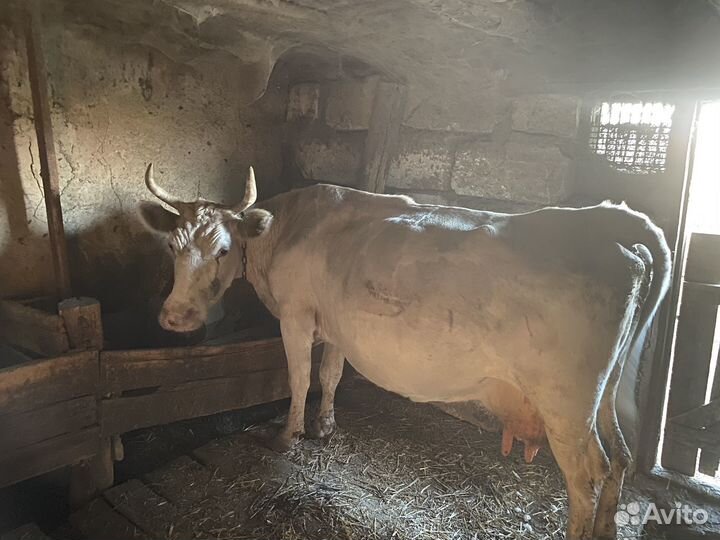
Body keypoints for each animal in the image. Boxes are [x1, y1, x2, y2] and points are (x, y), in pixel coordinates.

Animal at [138, 164, 671, 540]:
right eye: (172, 246)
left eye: (224, 250)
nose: (175, 318)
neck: (288, 231)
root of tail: (604, 222)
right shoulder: (336, 325)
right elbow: (330, 376)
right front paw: (325, 426)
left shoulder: (296, 316)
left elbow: (299, 378)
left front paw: (287, 436)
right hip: (606, 389)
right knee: (620, 458)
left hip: (566, 404)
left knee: (588, 479)